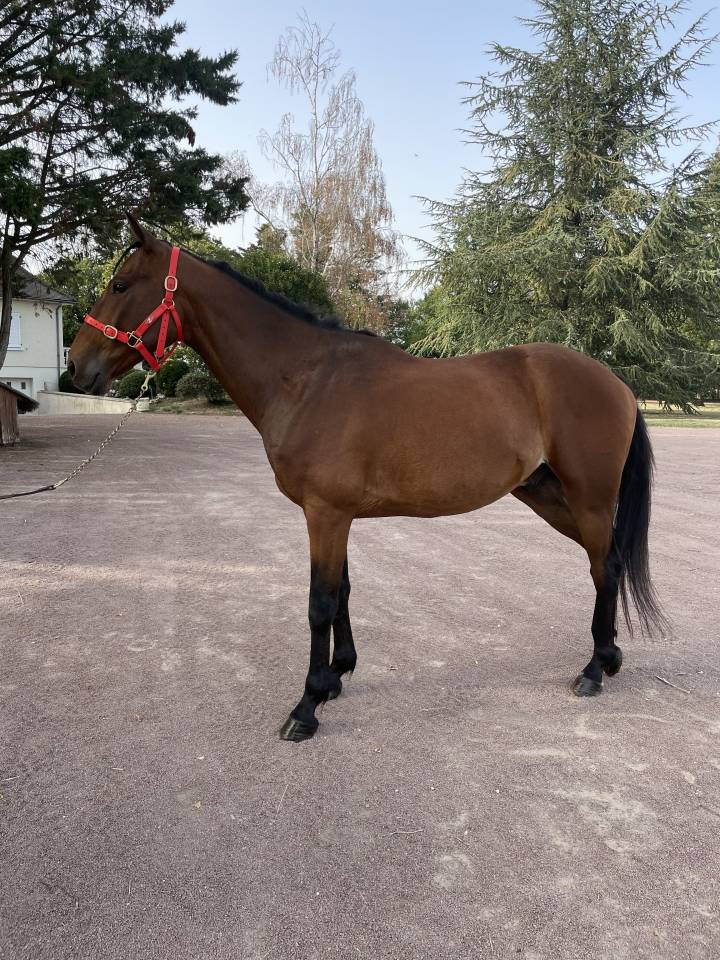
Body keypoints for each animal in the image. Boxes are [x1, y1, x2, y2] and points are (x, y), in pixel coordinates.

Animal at [67, 214, 664, 742]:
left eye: (120, 284)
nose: (76, 368)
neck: (307, 378)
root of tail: (616, 383)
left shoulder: (326, 514)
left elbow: (319, 603)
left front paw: (306, 707)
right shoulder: (336, 514)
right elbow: (343, 593)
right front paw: (336, 677)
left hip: (587, 498)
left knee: (604, 568)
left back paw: (593, 670)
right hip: (547, 495)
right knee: (607, 564)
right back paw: (608, 658)